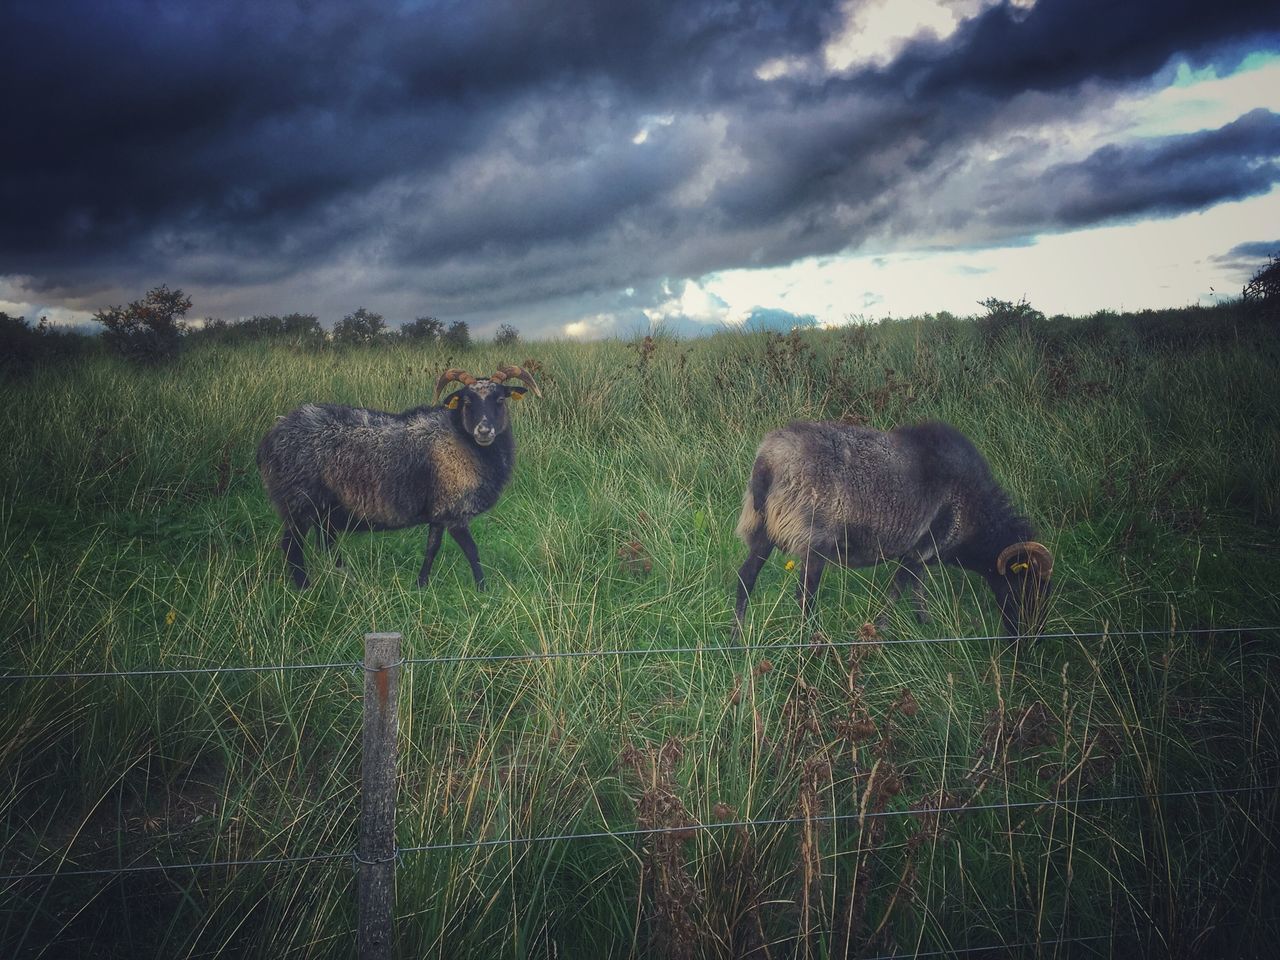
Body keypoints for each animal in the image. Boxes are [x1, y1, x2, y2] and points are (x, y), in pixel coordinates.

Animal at [257, 363, 542, 591]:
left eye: (500, 400)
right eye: (466, 402)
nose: (484, 431)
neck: (461, 439)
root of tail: (271, 437)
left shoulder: (438, 511)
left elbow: (431, 548)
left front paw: (421, 585)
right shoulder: (454, 512)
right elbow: (473, 551)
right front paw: (484, 590)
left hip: (322, 507)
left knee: (326, 543)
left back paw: (344, 577)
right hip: (299, 502)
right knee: (292, 547)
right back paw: (305, 588)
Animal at [737, 419, 1054, 640]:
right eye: (1026, 586)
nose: (1032, 637)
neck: (977, 516)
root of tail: (768, 462)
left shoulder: (920, 556)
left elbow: (916, 590)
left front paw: (924, 623)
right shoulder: (919, 550)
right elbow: (898, 591)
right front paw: (880, 630)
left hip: (763, 530)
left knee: (746, 577)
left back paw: (737, 641)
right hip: (813, 540)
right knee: (805, 595)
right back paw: (812, 640)